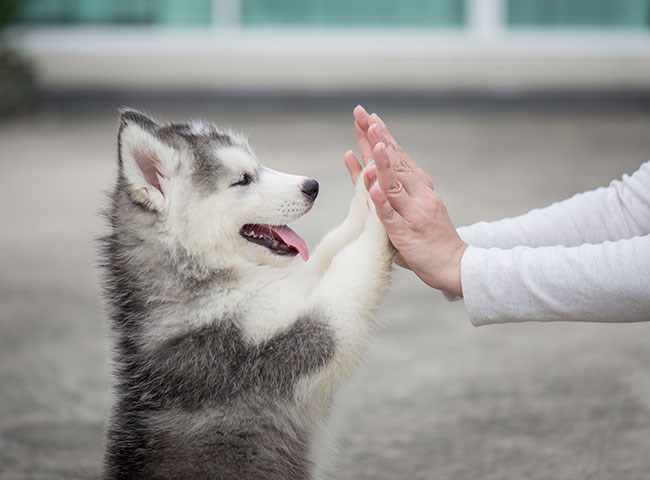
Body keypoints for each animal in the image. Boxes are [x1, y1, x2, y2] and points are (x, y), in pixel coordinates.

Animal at [98, 109, 392, 480]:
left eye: (258, 165)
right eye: (242, 179)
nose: (312, 186)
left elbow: (330, 248)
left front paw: (368, 186)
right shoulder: (281, 343)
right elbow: (352, 268)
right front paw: (384, 205)